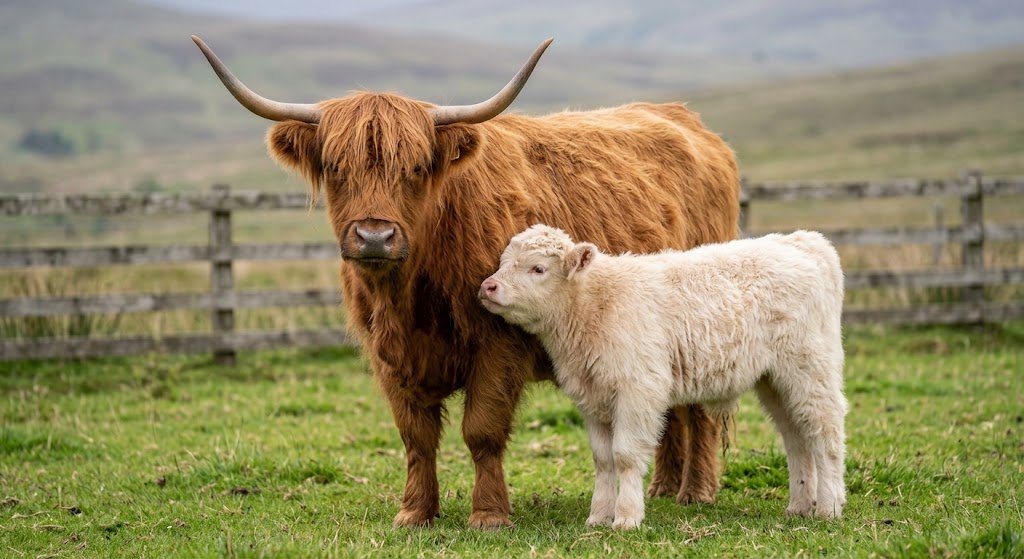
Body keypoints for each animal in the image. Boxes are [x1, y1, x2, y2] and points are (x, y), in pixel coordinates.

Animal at [191, 35, 740, 528]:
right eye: (334, 167)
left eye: (415, 167)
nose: (374, 236)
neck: (410, 295)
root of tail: (684, 119)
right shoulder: (389, 355)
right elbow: (416, 437)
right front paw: (415, 512)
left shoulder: (498, 343)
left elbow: (482, 431)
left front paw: (489, 514)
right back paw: (663, 486)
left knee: (700, 411)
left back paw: (696, 491)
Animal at [480, 226, 848, 528]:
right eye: (503, 261)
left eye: (538, 268)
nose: (488, 286)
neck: (595, 304)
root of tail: (800, 241)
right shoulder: (593, 398)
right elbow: (603, 460)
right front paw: (598, 516)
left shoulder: (637, 391)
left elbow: (625, 456)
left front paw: (626, 518)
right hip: (775, 382)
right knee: (797, 437)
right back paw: (800, 506)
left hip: (810, 369)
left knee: (825, 433)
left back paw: (828, 507)